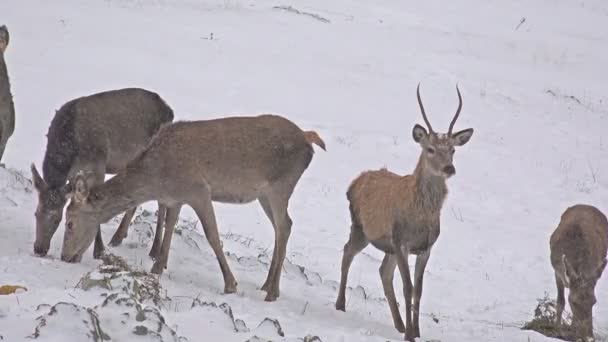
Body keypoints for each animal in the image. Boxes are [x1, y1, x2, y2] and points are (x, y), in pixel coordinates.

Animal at [32, 88, 173, 260]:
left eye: (56, 219)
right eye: (36, 214)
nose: (39, 249)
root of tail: (170, 111)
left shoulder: (98, 166)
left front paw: (99, 251)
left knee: (162, 202)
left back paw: (154, 250)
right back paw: (118, 237)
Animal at [61, 114, 326, 302]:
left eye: (70, 222)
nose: (64, 256)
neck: (157, 178)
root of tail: (308, 139)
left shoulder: (198, 190)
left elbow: (212, 236)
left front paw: (230, 284)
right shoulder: (176, 198)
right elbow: (170, 226)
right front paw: (158, 267)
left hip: (281, 186)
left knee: (285, 226)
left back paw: (272, 292)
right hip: (265, 195)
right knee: (282, 228)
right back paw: (267, 285)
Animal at [338, 84, 476, 340]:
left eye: (452, 150)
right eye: (430, 149)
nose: (448, 168)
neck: (420, 217)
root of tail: (354, 182)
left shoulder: (425, 248)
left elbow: (418, 290)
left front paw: (416, 331)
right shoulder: (402, 241)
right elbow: (408, 287)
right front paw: (410, 334)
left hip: (388, 245)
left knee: (383, 271)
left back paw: (399, 324)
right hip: (361, 227)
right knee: (347, 252)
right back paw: (340, 305)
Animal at [548, 204, 604, 340]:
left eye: (594, 301)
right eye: (573, 302)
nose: (588, 337)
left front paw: (573, 332)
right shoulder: (557, 272)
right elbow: (560, 302)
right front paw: (558, 330)